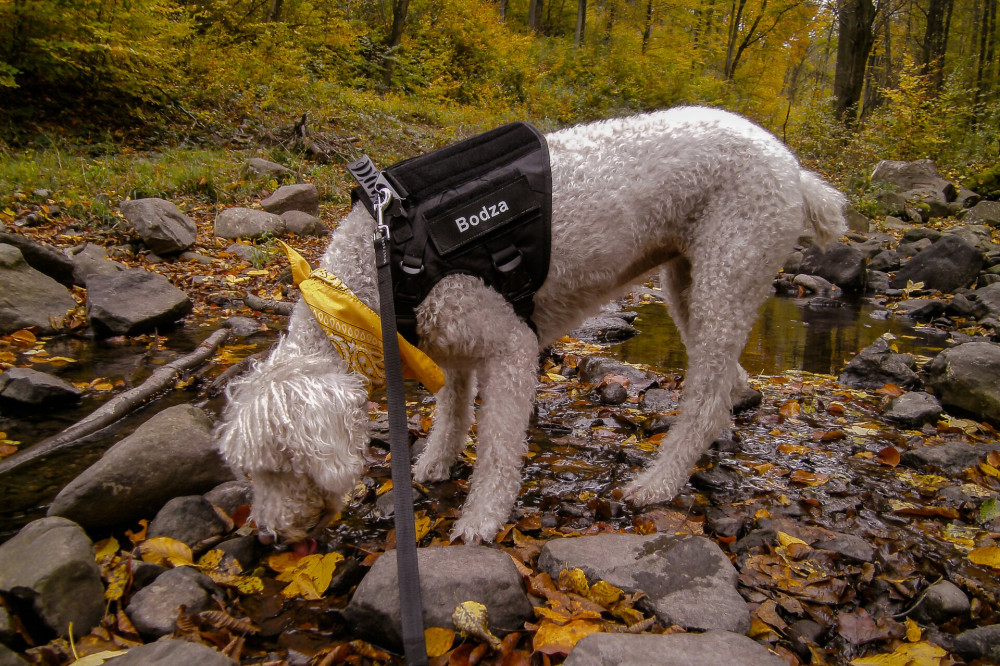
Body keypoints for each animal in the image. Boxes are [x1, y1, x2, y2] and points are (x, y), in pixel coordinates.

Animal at [217, 109, 844, 544]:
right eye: (251, 473)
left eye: (280, 468)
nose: (267, 536)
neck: (378, 275)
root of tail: (794, 168)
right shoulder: (448, 344)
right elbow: (453, 408)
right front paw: (435, 463)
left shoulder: (509, 345)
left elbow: (497, 446)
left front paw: (482, 519)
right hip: (692, 284)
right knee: (725, 380)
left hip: (728, 268)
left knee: (706, 396)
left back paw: (660, 481)